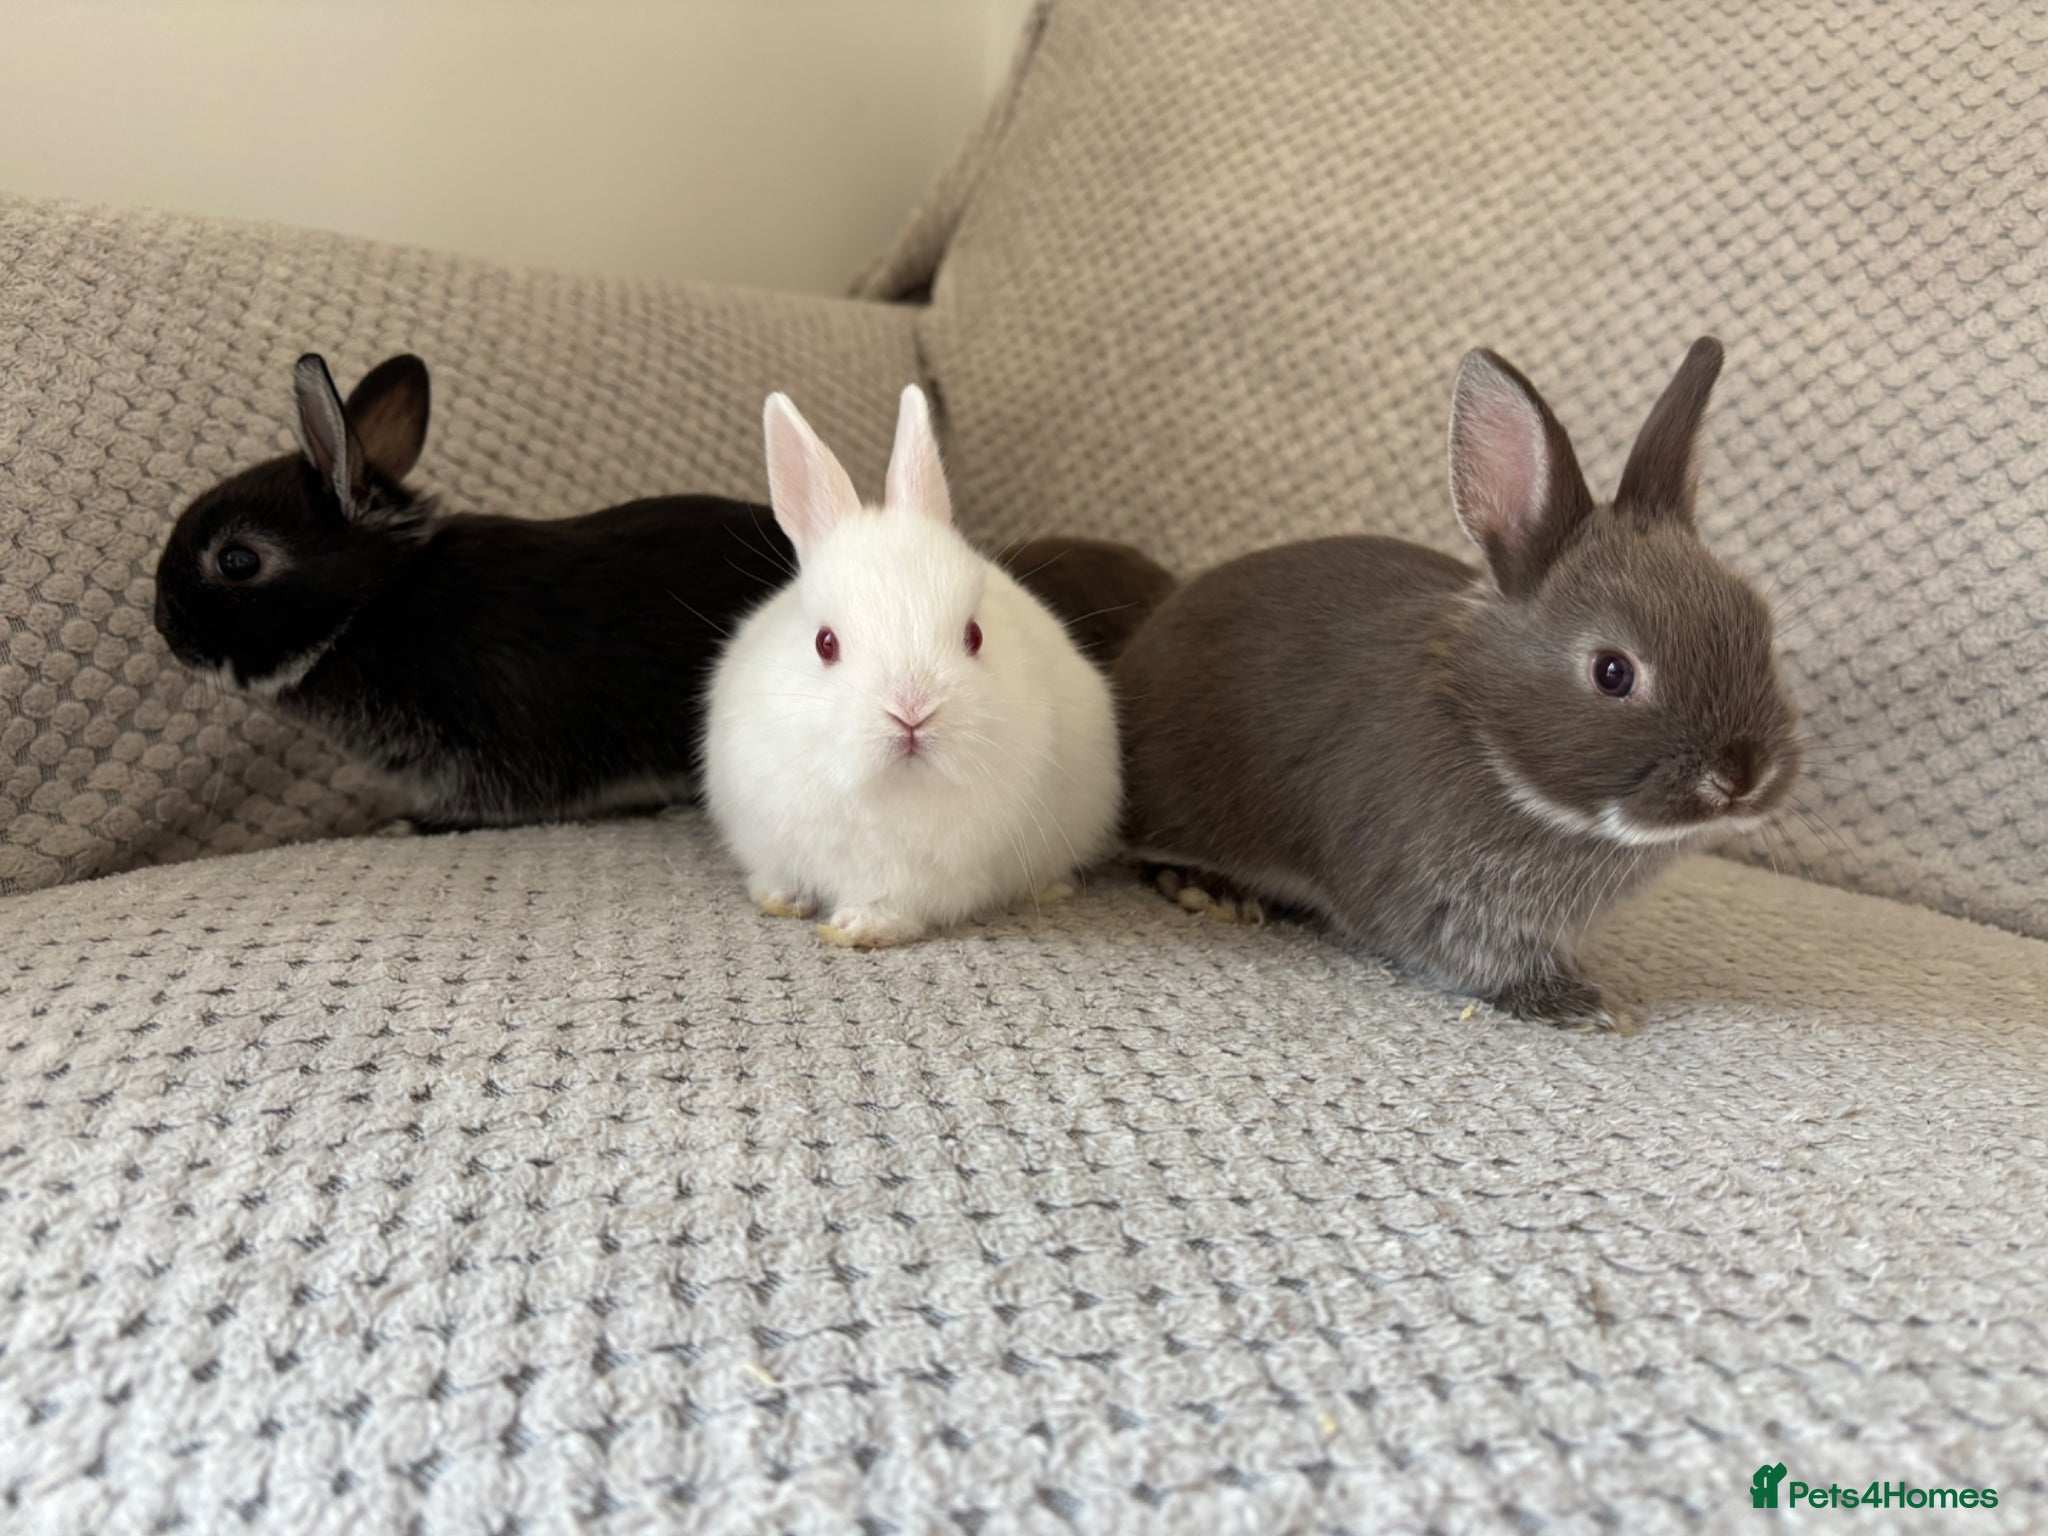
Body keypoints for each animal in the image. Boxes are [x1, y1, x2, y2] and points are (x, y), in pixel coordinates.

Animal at [703, 385, 1122, 948]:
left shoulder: (927, 877)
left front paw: (858, 929)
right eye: (825, 643)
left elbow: (893, 905)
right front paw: (780, 901)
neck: (888, 789)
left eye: (974, 635)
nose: (912, 712)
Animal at [1113, 337, 1800, 1031]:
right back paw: (1213, 891)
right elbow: (1474, 957)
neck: (1491, 743)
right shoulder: (1432, 895)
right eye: (1613, 672)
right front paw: (1575, 1004)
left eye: (1761, 630)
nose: (1741, 778)